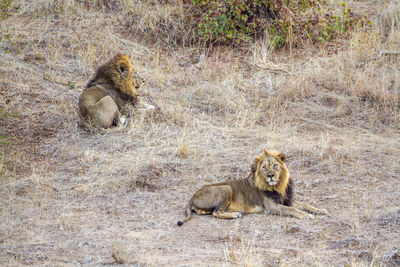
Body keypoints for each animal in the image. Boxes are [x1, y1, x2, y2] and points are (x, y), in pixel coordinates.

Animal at [178, 149, 328, 226]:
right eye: (264, 168)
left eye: (275, 166)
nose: (271, 176)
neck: (278, 186)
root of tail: (192, 196)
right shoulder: (272, 207)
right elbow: (293, 210)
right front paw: (306, 215)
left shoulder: (286, 200)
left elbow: (305, 205)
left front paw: (321, 210)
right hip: (227, 188)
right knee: (216, 213)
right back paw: (236, 214)